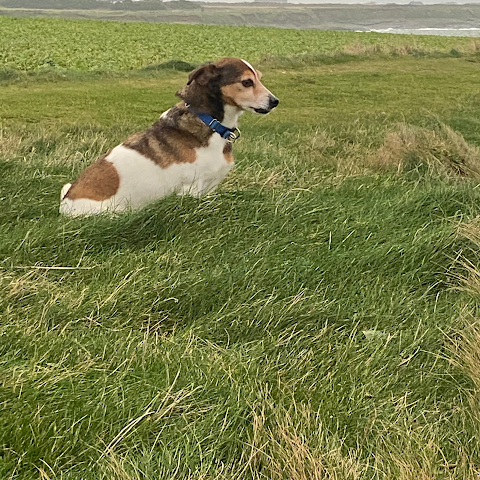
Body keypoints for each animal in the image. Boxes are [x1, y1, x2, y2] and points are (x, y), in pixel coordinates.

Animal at [59, 56, 278, 216]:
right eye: (247, 82)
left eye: (259, 78)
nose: (275, 101)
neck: (209, 122)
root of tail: (66, 202)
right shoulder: (190, 189)